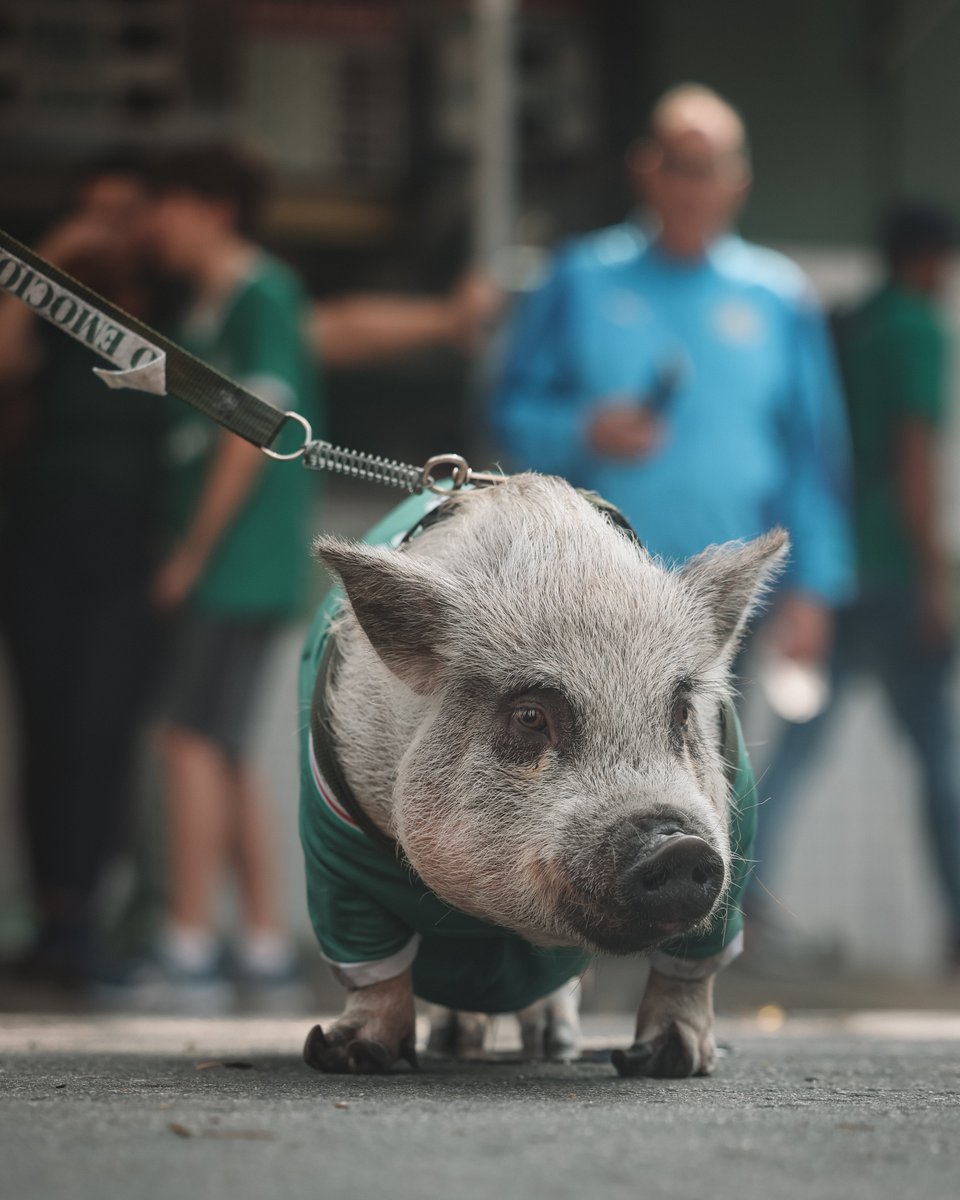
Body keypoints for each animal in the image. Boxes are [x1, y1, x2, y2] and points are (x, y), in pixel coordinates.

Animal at [299, 472, 786, 1077]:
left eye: (680, 712)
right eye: (531, 716)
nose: (678, 846)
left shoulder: (733, 838)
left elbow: (693, 965)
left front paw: (674, 1061)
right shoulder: (333, 847)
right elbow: (374, 967)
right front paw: (349, 1055)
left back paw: (556, 1046)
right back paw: (453, 1044)